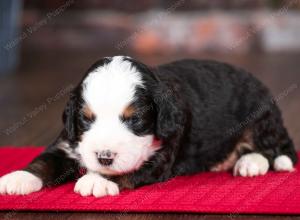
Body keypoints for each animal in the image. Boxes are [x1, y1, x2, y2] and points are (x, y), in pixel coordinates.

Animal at [0, 55, 296, 197]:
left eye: (135, 119)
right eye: (87, 118)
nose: (104, 157)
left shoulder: (161, 156)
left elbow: (127, 170)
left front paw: (96, 179)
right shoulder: (69, 141)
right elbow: (46, 160)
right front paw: (19, 177)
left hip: (260, 117)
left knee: (273, 149)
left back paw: (250, 163)